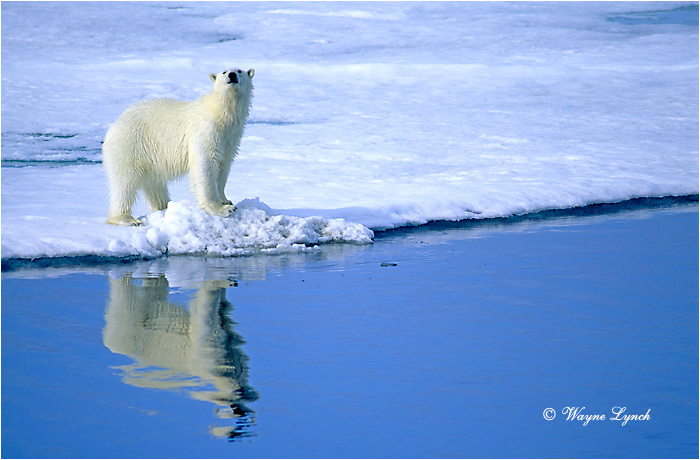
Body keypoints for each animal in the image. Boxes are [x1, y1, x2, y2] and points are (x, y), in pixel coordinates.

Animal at [102, 68, 254, 226]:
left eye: (239, 70)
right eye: (224, 72)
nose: (232, 75)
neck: (221, 113)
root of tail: (115, 125)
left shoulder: (231, 138)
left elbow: (224, 165)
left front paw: (225, 200)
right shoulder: (206, 130)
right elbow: (206, 164)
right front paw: (223, 209)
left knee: (154, 184)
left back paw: (164, 206)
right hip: (129, 145)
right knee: (125, 181)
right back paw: (126, 218)